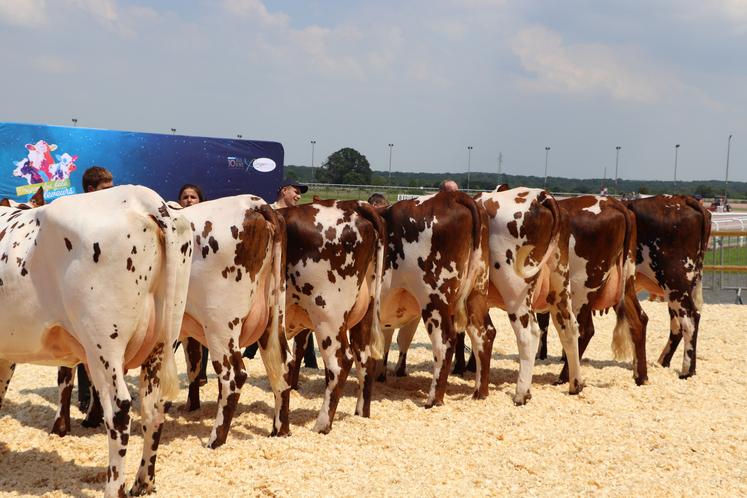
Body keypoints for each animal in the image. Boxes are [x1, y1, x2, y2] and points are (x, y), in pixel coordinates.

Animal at [0, 187, 196, 498]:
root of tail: (145, 198)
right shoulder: (7, 355)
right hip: (161, 340)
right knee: (153, 409)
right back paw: (143, 482)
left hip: (103, 344)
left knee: (119, 412)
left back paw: (115, 488)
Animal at [51, 194, 292, 448]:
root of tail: (254, 203)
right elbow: (193, 366)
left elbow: (67, 376)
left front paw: (63, 425)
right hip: (272, 316)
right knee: (282, 364)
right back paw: (280, 430)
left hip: (221, 325)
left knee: (233, 375)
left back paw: (215, 440)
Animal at [624, 195, 712, 378]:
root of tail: (683, 199)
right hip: (681, 288)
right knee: (677, 325)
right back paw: (663, 362)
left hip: (674, 281)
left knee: (690, 320)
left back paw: (686, 371)